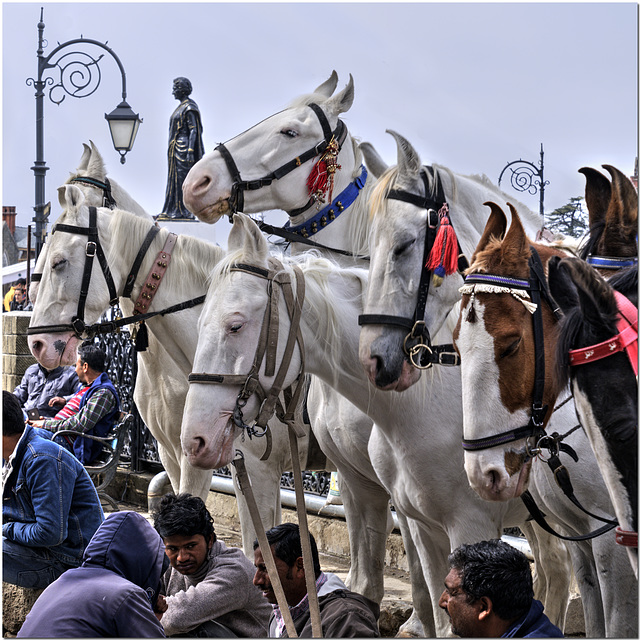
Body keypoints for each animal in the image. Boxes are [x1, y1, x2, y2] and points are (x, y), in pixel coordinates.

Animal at [181, 214, 584, 636]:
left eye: (235, 326)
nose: (195, 440)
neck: (424, 402)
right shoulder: (382, 498)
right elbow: (374, 585)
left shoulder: (469, 524)